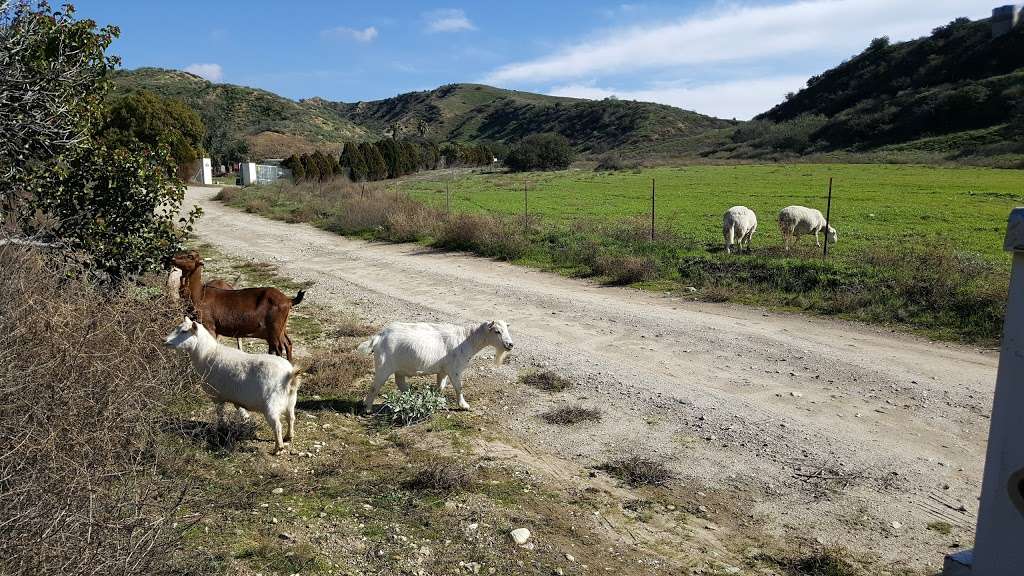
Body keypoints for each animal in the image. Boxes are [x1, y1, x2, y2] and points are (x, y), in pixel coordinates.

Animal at [162, 315, 299, 450]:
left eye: (184, 331)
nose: (164, 340)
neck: (206, 354)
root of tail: (289, 375)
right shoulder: (236, 398)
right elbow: (240, 410)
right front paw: (245, 420)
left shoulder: (217, 396)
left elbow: (220, 414)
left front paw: (221, 427)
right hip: (290, 401)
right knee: (291, 418)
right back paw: (289, 436)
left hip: (272, 404)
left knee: (277, 425)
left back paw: (278, 448)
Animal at [171, 251, 303, 358]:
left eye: (190, 256)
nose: (173, 258)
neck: (199, 295)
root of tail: (289, 300)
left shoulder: (209, 324)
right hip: (280, 328)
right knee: (288, 343)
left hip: (275, 328)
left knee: (279, 349)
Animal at [358, 317, 516, 412]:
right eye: (497, 331)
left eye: (507, 330)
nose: (510, 345)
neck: (467, 339)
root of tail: (378, 337)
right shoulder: (454, 369)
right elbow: (459, 387)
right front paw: (464, 405)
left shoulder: (443, 370)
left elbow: (440, 386)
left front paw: (436, 400)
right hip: (383, 366)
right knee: (375, 386)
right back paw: (368, 408)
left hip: (399, 368)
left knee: (400, 383)